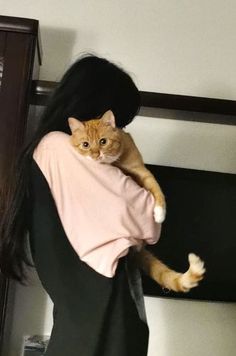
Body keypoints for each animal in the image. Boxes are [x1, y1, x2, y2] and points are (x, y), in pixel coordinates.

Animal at [68, 111, 205, 292]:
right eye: (85, 145)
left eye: (103, 142)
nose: (96, 155)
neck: (118, 162)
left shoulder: (143, 172)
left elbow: (156, 190)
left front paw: (159, 214)